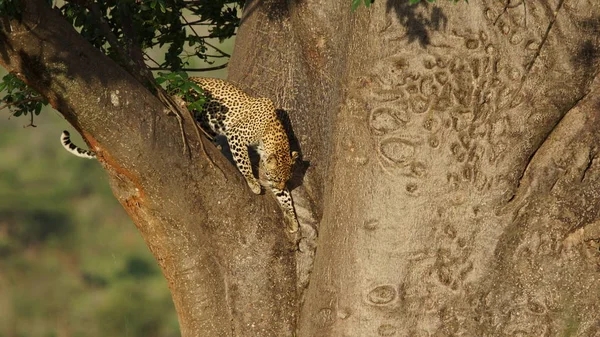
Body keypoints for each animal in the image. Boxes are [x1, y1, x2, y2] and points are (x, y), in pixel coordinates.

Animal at [61, 77, 300, 232]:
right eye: (275, 177)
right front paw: (253, 183)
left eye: (285, 179)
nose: (278, 185)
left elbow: (286, 198)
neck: (273, 135)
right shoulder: (237, 135)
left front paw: (293, 219)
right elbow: (244, 163)